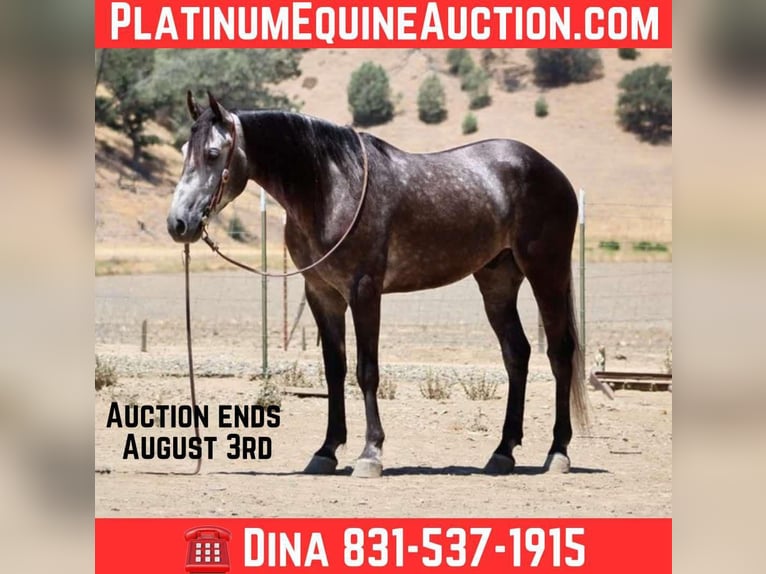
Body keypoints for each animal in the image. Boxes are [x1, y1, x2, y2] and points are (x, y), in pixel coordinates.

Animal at [168, 91, 588, 478]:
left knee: (560, 353)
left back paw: (558, 453)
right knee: (517, 354)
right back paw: (502, 452)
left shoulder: (364, 291)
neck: (332, 188)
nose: (178, 224)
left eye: (212, 153)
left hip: (546, 272)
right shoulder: (322, 295)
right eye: (184, 150)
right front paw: (327, 451)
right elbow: (335, 370)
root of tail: (553, 173)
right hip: (497, 280)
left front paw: (370, 454)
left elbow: (366, 370)